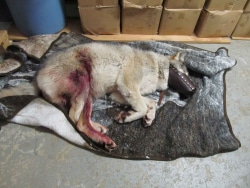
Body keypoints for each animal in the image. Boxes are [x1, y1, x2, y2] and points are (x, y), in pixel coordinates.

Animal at [7, 42, 188, 150]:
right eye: (186, 72)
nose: (192, 90)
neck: (157, 66)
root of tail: (37, 78)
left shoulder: (118, 93)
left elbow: (150, 103)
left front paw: (148, 116)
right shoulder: (127, 86)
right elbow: (143, 106)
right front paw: (129, 117)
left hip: (90, 93)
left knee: (80, 118)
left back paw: (98, 129)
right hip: (85, 82)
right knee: (77, 120)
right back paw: (101, 139)